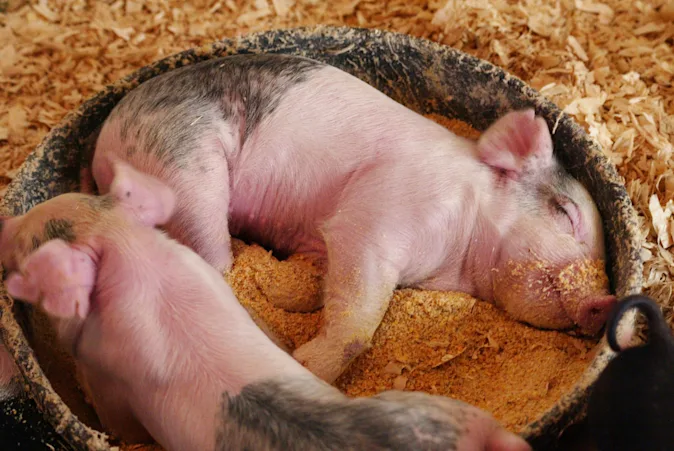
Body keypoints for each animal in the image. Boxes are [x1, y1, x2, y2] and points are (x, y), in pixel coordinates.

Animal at [84, 53, 616, 384]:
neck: (455, 257)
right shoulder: (376, 215)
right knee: (215, 263)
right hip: (184, 164)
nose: (606, 301)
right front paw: (305, 365)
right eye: (565, 213)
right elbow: (358, 320)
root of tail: (108, 137)